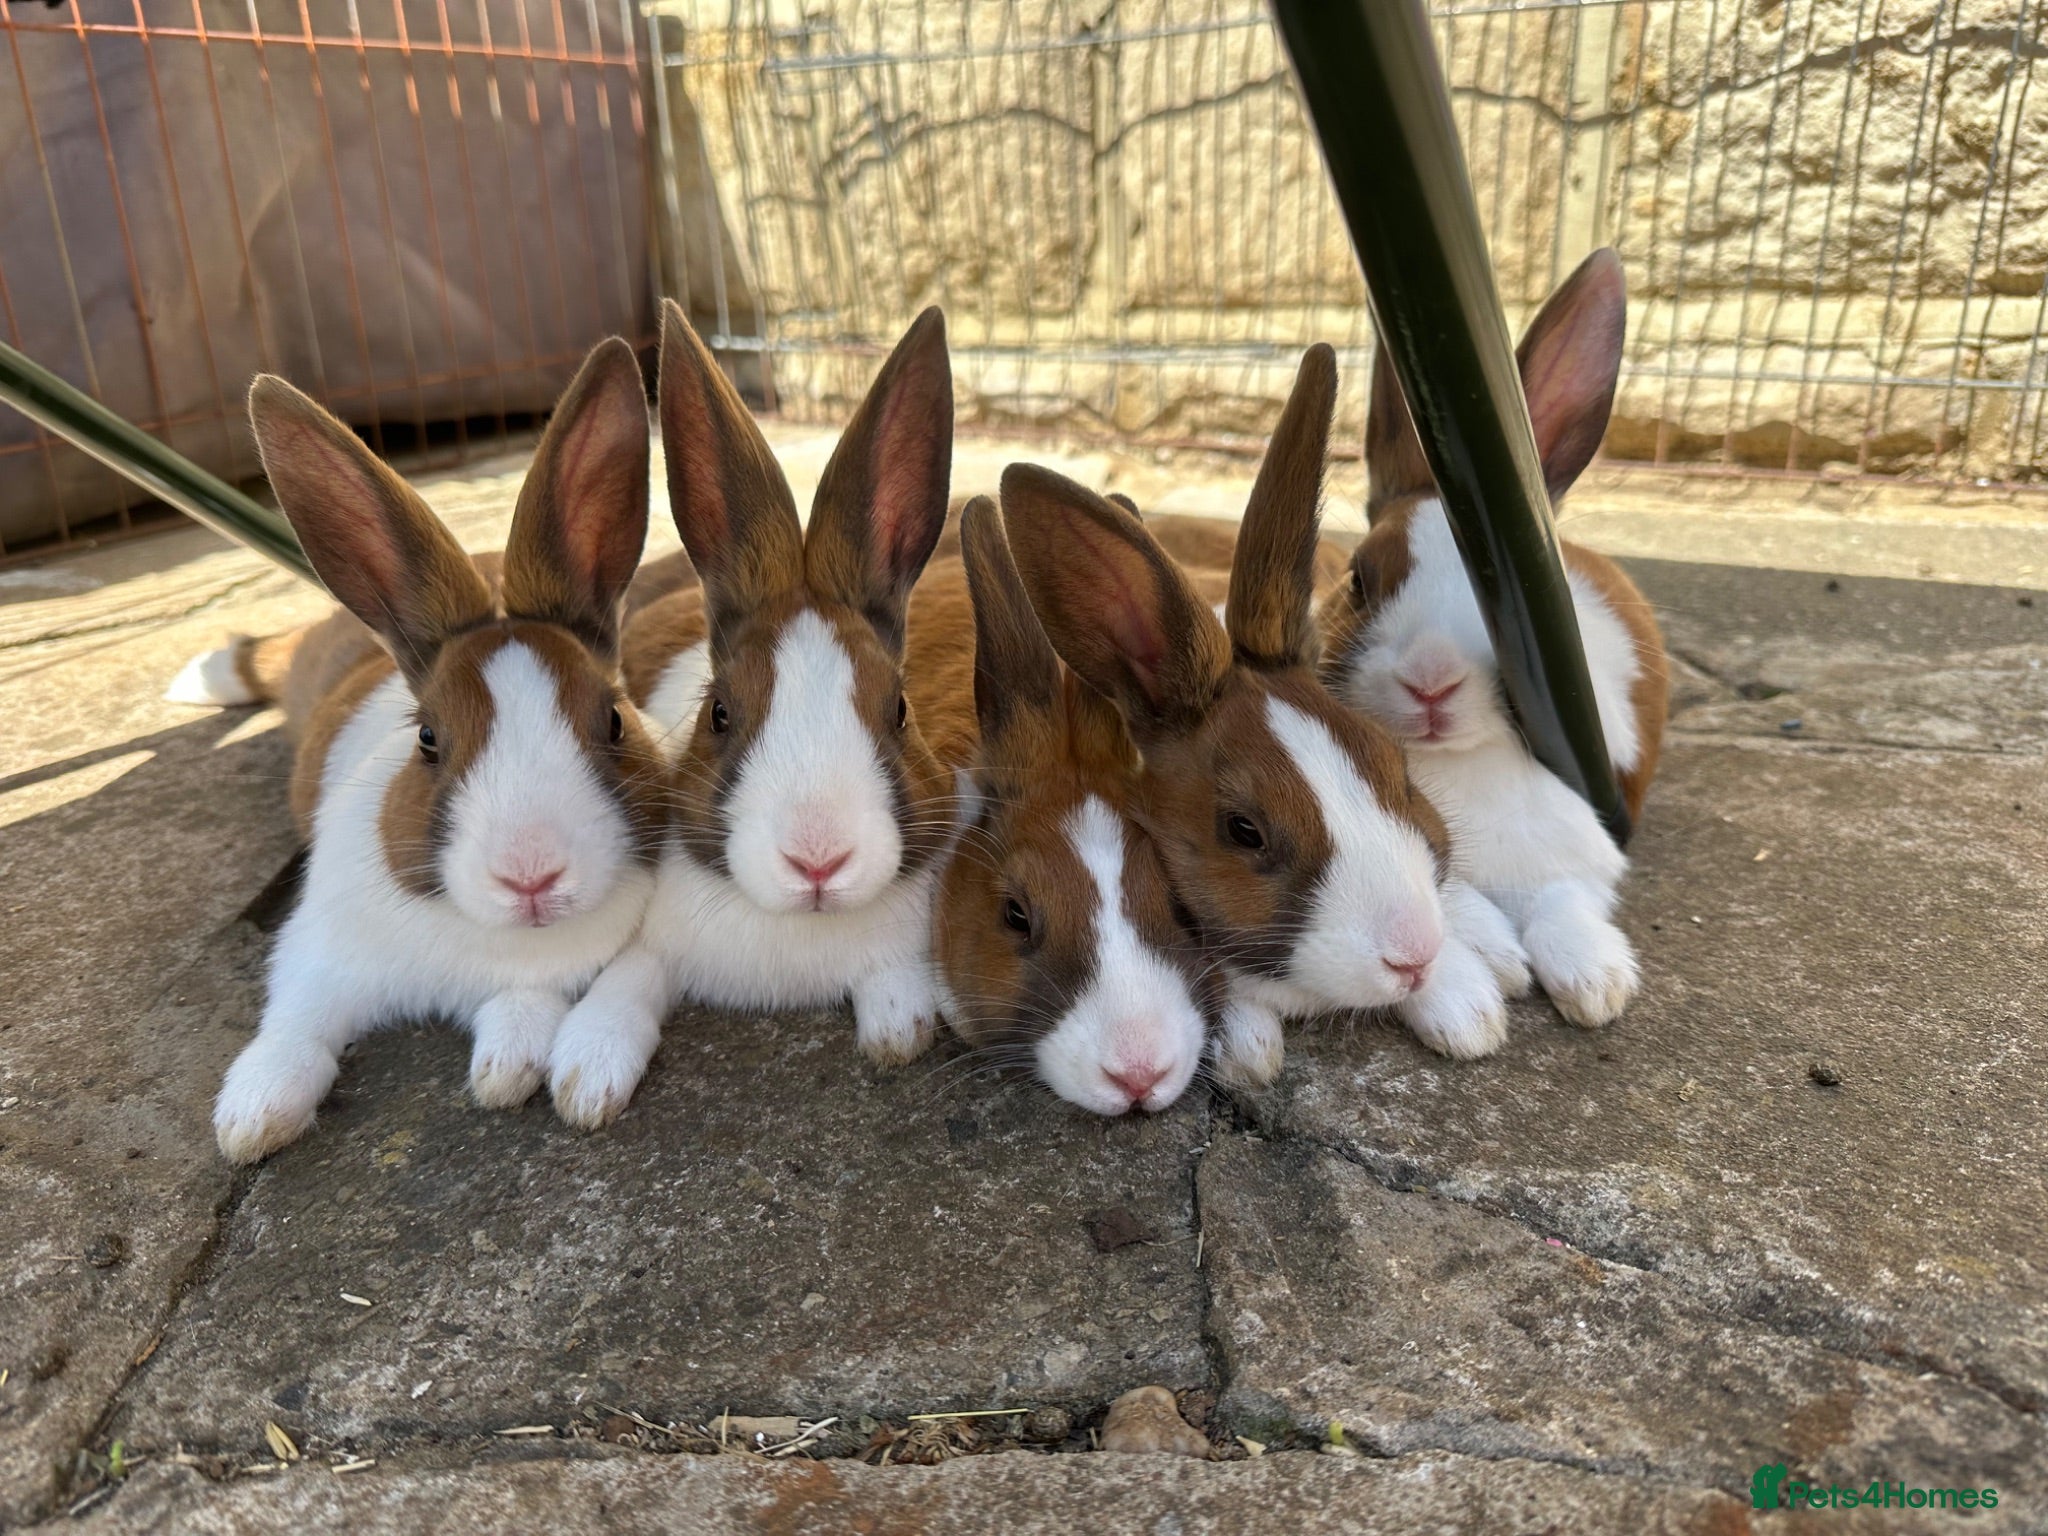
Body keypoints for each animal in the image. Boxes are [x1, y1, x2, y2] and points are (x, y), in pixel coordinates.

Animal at [184, 338, 669, 1163]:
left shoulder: (546, 978)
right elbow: (294, 1031)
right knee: (267, 654)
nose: (530, 876)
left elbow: (522, 1014)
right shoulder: (313, 952)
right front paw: (250, 1122)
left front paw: (504, 1074)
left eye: (613, 719)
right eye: (428, 738)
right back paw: (202, 675)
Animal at [543, 300, 963, 1127]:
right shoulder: (652, 940)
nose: (817, 861)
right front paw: (584, 1081)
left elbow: (896, 999)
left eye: (898, 708)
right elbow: (628, 980)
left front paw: (898, 1028)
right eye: (720, 713)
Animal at [1317, 247, 1670, 1027]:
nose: (1430, 682)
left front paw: (1595, 985)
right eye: (1358, 578)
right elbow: (1442, 918)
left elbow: (1565, 905)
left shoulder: (1576, 853)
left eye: (1506, 598)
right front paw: (1480, 999)